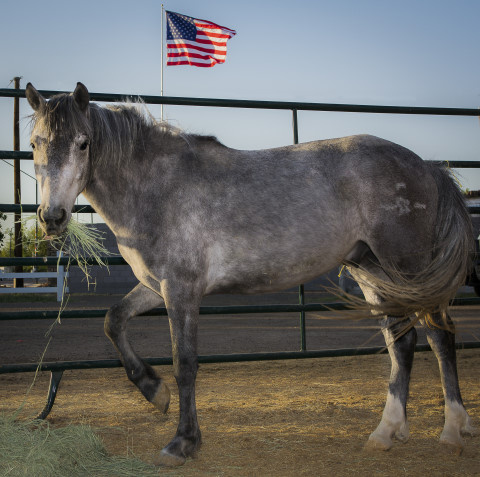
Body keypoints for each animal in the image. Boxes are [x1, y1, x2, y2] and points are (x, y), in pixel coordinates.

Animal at [26, 82, 476, 464]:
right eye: (34, 143)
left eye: (83, 143)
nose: (52, 217)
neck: (158, 187)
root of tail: (428, 167)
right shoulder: (156, 287)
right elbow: (113, 320)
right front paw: (154, 391)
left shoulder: (181, 290)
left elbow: (185, 363)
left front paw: (182, 441)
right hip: (372, 272)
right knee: (402, 342)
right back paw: (386, 432)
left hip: (409, 269)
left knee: (439, 334)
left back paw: (453, 429)